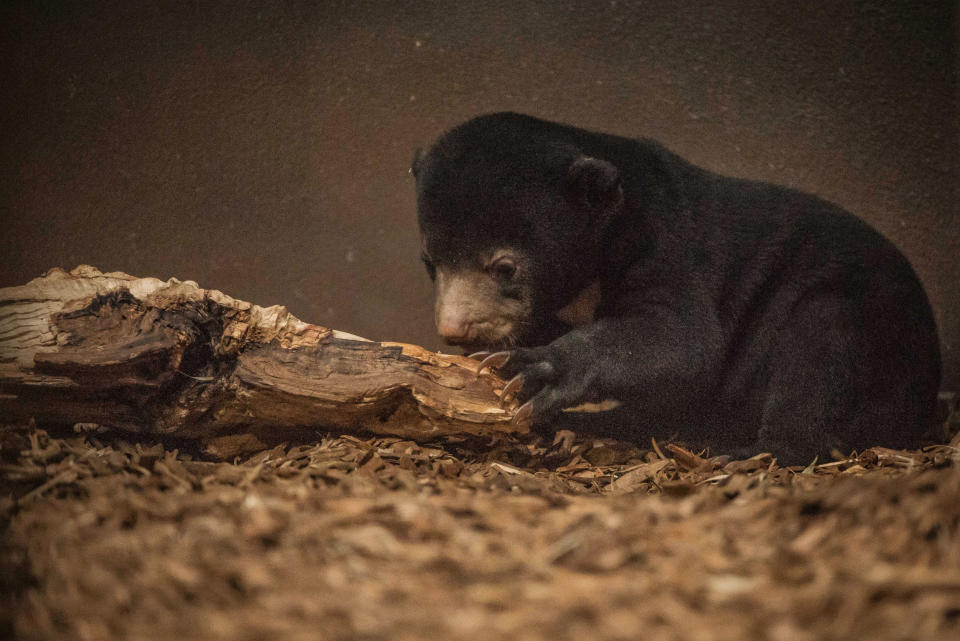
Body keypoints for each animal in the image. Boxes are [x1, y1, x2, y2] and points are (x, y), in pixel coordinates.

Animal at [408, 112, 940, 462]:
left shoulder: (666, 238)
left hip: (868, 324)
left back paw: (750, 453)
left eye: (504, 268)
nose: (453, 330)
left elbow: (682, 338)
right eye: (430, 263)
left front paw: (532, 370)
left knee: (818, 354)